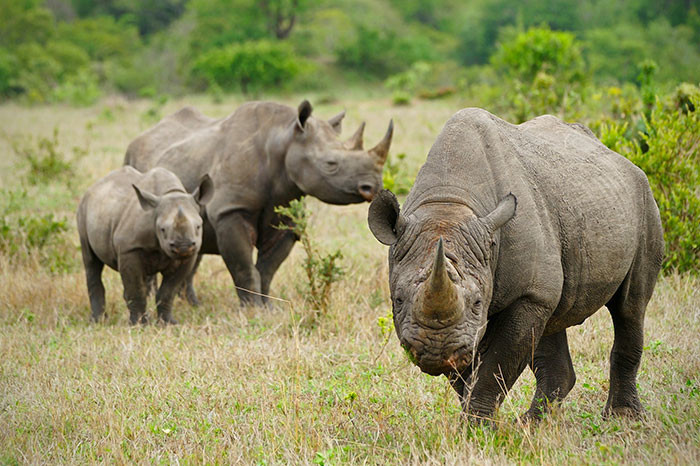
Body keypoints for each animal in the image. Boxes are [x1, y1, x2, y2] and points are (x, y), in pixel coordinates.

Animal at [77, 167, 213, 324]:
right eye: (162, 229)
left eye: (199, 226)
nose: (183, 247)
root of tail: (94, 186)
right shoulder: (129, 249)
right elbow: (137, 290)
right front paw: (139, 325)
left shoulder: (188, 257)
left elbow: (168, 291)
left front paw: (168, 323)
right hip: (83, 210)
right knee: (91, 262)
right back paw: (98, 321)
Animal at [123, 100, 392, 308]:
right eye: (330, 164)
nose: (372, 186)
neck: (282, 140)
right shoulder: (230, 210)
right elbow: (243, 266)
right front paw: (251, 308)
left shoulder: (287, 216)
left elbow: (267, 269)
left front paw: (268, 307)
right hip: (135, 164)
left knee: (193, 248)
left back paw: (192, 304)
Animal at [370, 108, 664, 422]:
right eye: (398, 299)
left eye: (477, 303)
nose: (436, 350)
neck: (449, 204)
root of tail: (620, 157)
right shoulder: (471, 319)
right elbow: (469, 373)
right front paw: (475, 421)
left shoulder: (524, 296)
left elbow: (495, 367)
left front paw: (477, 427)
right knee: (552, 318)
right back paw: (533, 423)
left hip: (643, 199)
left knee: (630, 307)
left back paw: (622, 417)